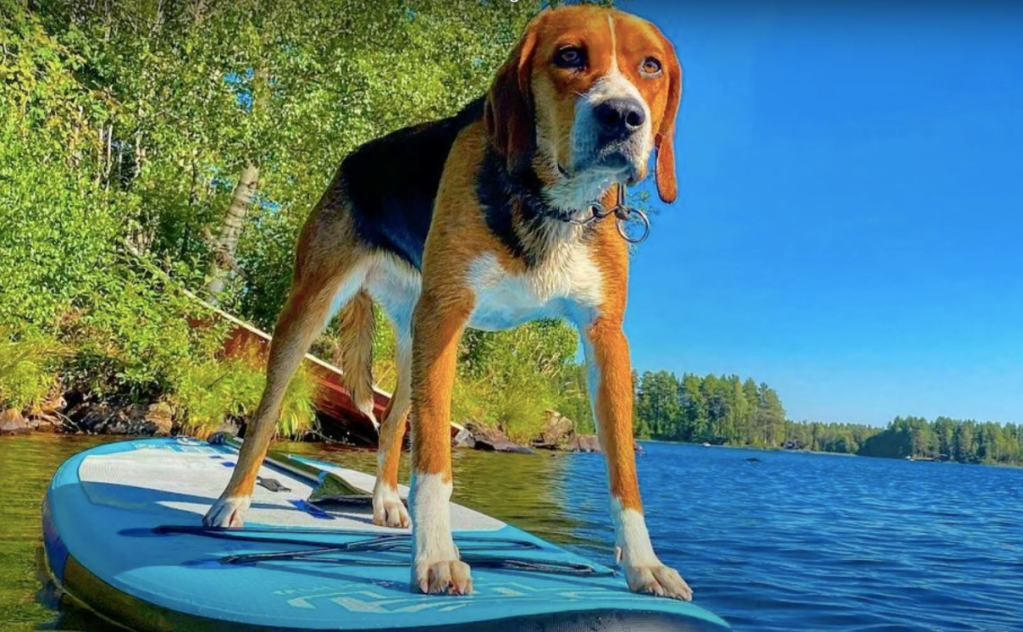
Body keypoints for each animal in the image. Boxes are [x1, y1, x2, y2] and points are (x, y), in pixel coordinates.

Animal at [203, 3, 691, 601]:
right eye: (570, 55)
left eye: (651, 66)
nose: (622, 116)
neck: (553, 203)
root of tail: (355, 156)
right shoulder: (447, 316)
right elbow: (435, 461)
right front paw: (436, 557)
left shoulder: (606, 339)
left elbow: (623, 470)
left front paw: (645, 565)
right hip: (312, 309)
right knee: (267, 414)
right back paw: (232, 502)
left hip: (412, 336)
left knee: (392, 423)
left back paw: (386, 501)